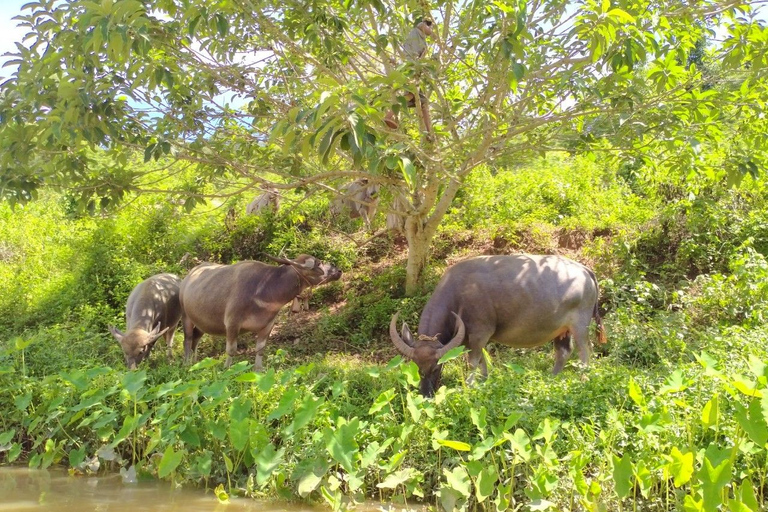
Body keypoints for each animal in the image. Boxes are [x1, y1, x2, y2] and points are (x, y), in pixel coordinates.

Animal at [390, 255, 608, 396]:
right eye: (416, 367)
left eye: (436, 367)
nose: (426, 394)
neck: (458, 293)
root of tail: (585, 270)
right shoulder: (470, 338)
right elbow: (481, 361)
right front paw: (484, 381)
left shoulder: (479, 333)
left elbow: (473, 361)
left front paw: (469, 386)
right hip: (562, 330)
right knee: (563, 352)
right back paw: (552, 379)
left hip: (580, 326)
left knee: (585, 351)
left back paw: (583, 379)